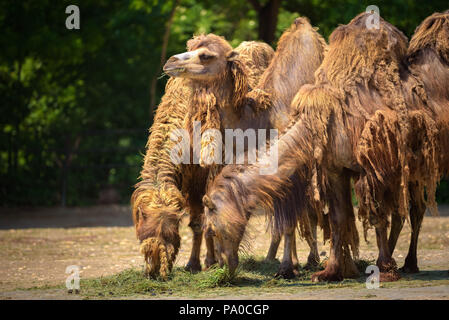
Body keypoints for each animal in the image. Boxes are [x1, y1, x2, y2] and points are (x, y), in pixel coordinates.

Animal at [131, 40, 272, 278]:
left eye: (169, 236)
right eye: (143, 235)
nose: (155, 271)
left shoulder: (209, 172)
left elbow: (208, 219)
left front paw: (210, 262)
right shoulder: (190, 181)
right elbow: (197, 223)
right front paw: (194, 264)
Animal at [164, 17, 326, 278]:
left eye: (205, 55)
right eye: (190, 45)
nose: (171, 61)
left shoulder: (291, 169)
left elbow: (289, 221)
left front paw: (286, 268)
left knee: (311, 210)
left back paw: (310, 260)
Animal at [202, 12, 438, 282]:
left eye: (212, 228)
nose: (223, 267)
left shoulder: (351, 169)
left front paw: (291, 268)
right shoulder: (325, 170)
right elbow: (330, 217)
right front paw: (330, 267)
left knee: (414, 209)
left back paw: (408, 263)